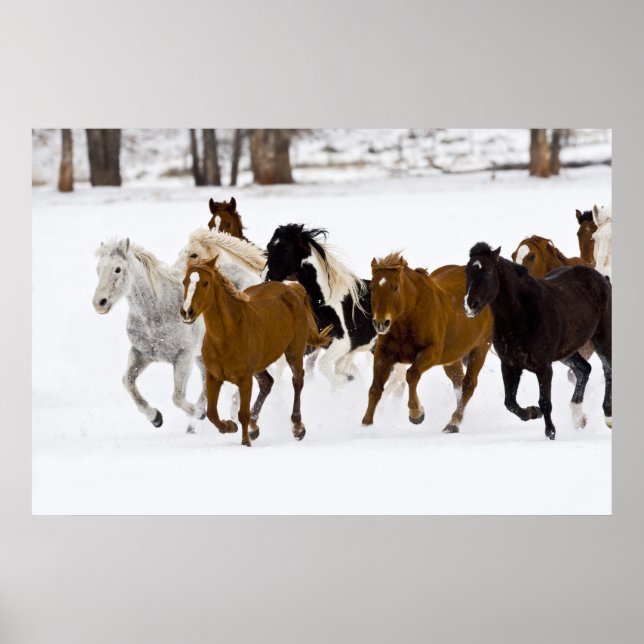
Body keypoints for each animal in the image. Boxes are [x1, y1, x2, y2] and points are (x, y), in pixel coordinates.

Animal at [93, 238, 206, 432]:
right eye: (98, 268)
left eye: (117, 269)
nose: (99, 303)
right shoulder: (140, 354)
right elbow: (128, 381)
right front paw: (155, 418)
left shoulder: (184, 356)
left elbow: (177, 397)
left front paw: (198, 413)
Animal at [180, 256, 331, 446]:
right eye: (185, 281)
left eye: (205, 283)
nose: (187, 312)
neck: (227, 334)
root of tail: (293, 289)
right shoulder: (213, 377)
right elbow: (212, 413)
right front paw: (229, 426)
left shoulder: (245, 379)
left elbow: (242, 414)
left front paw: (245, 442)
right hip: (260, 365)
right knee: (267, 383)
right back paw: (255, 427)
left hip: (294, 352)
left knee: (297, 380)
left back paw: (297, 428)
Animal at [361, 252, 493, 433]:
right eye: (372, 287)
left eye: (395, 287)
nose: (381, 323)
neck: (409, 314)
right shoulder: (384, 353)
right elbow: (375, 387)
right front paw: (366, 424)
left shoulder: (431, 353)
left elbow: (411, 375)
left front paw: (416, 413)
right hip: (452, 359)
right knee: (458, 382)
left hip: (480, 349)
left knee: (468, 385)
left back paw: (453, 422)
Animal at [464, 242, 612, 440]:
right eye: (467, 272)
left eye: (487, 271)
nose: (470, 305)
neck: (522, 313)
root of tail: (603, 278)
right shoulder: (510, 365)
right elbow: (510, 402)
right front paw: (533, 412)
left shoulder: (543, 367)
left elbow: (545, 402)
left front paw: (550, 433)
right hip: (567, 352)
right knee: (584, 369)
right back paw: (578, 418)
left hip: (602, 339)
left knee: (607, 370)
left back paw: (608, 416)